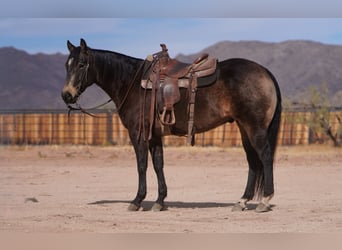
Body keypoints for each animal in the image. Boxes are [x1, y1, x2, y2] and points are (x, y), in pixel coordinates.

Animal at [62, 39, 282, 213]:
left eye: (81, 64)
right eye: (67, 65)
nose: (66, 95)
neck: (132, 83)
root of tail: (265, 72)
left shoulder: (138, 134)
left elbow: (142, 165)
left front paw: (137, 200)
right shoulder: (155, 137)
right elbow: (158, 165)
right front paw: (159, 201)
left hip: (255, 129)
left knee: (265, 156)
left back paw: (264, 200)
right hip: (244, 129)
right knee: (252, 161)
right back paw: (242, 201)